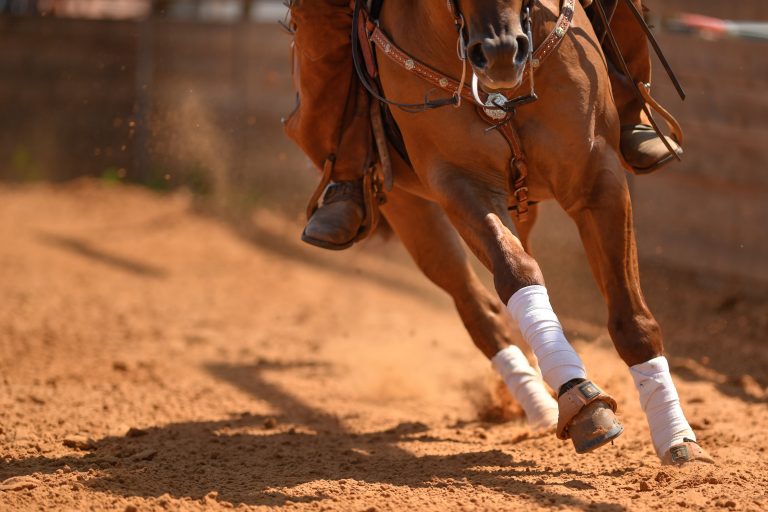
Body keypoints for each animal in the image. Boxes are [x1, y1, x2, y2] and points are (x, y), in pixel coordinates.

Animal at [352, 0, 711, 464]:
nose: (501, 52)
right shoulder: (459, 183)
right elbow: (516, 272)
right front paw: (582, 403)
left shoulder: (597, 177)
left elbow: (632, 316)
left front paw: (678, 439)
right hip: (409, 207)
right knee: (478, 307)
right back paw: (538, 401)